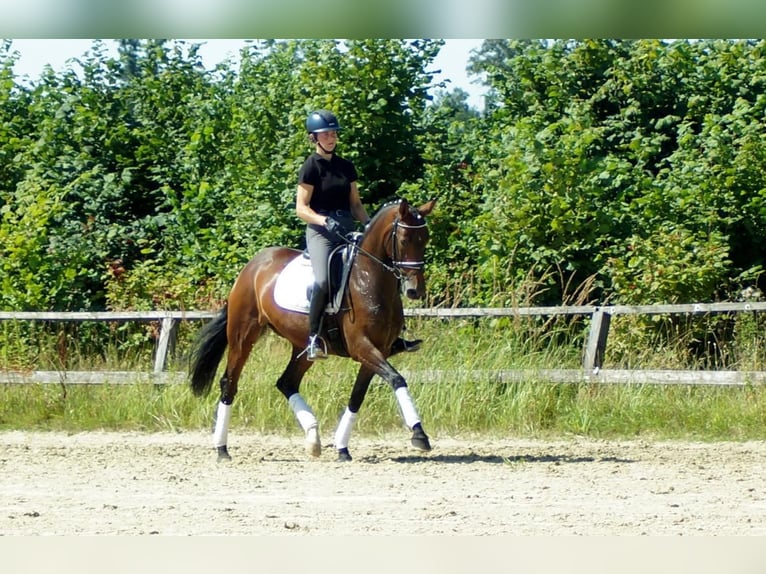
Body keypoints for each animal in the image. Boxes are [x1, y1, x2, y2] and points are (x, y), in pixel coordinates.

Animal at [188, 198, 438, 464]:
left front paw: (342, 448)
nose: (415, 290)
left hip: (303, 346)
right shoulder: (362, 347)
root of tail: (253, 265)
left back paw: (313, 439)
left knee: (286, 382)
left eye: (425, 238)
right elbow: (397, 379)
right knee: (230, 382)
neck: (368, 279)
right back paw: (222, 449)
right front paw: (419, 435)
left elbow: (357, 396)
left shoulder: (378, 350)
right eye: (404, 239)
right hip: (243, 335)